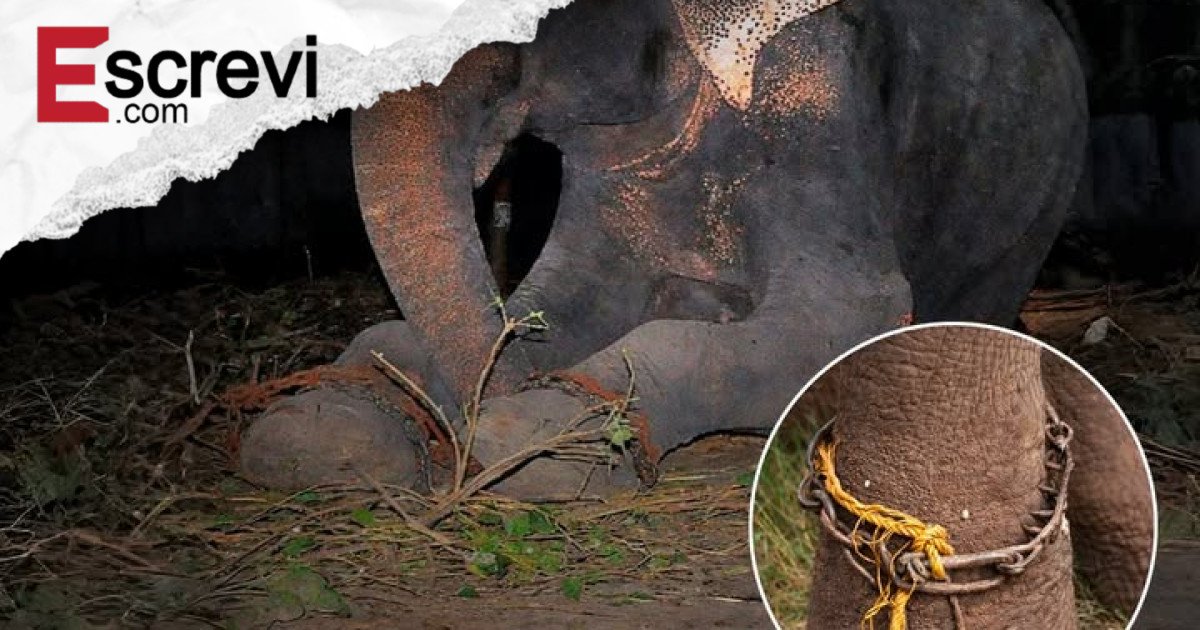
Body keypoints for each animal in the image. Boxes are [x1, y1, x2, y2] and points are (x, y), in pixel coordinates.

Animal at [240, 0, 1086, 501]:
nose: (474, 417)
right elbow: (565, 301)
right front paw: (323, 431)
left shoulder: (816, 91)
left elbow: (845, 319)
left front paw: (540, 439)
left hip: (1036, 199)